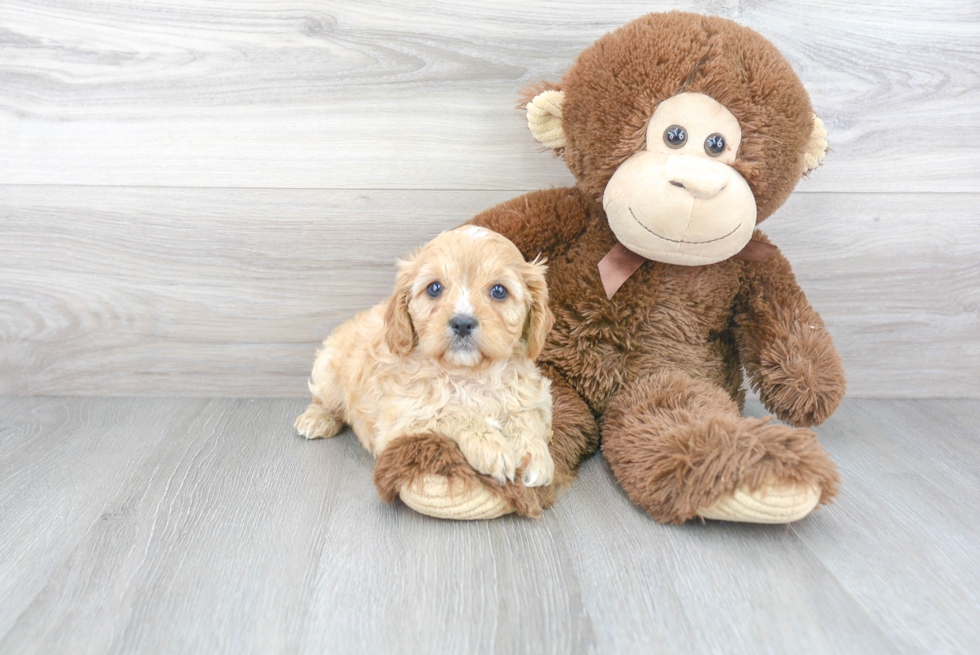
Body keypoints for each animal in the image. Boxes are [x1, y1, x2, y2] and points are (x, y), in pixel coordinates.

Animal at [294, 226, 556, 486]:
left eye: (499, 291)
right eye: (434, 288)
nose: (462, 323)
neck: (468, 373)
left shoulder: (533, 394)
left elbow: (526, 415)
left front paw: (535, 454)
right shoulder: (401, 420)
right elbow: (448, 411)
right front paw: (490, 445)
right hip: (328, 371)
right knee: (324, 400)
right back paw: (316, 419)